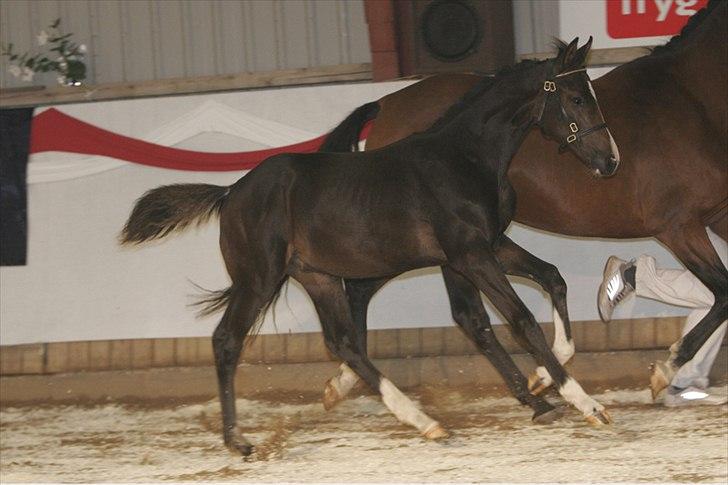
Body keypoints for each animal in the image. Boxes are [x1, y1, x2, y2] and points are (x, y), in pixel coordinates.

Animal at [122, 37, 616, 454]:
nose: (610, 161)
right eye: (576, 98)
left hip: (315, 276)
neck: (464, 157)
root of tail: (230, 193)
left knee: (344, 342)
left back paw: (422, 419)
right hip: (259, 278)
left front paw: (541, 386)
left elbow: (547, 280)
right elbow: (521, 319)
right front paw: (584, 403)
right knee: (228, 341)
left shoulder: (484, 247)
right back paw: (238, 440)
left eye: (592, 94)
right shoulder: (471, 254)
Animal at [322, 0, 724, 404]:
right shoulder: (679, 226)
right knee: (438, 307)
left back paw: (344, 379)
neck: (691, 103)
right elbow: (722, 292)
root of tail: (385, 102)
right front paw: (663, 369)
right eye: (577, 99)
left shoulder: (714, 216)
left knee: (371, 291)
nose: (611, 160)